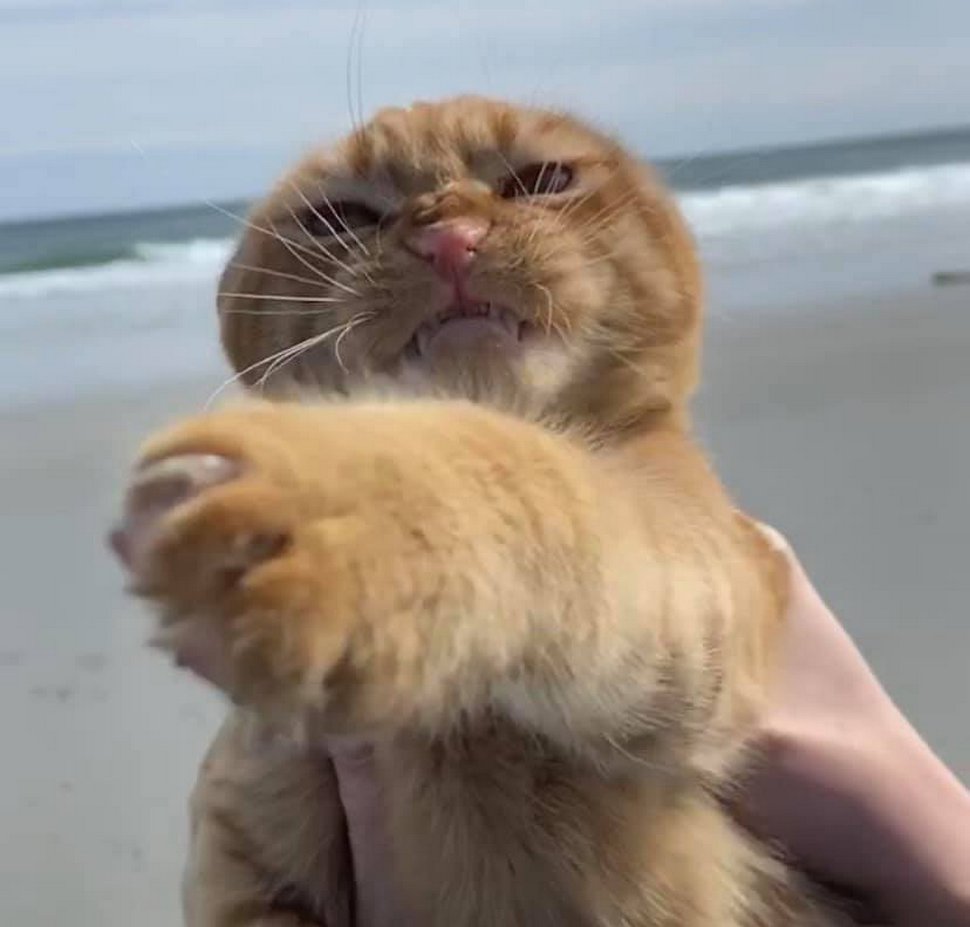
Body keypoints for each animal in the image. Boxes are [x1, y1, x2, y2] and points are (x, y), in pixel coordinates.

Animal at [109, 98, 844, 924]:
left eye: (541, 180)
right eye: (340, 217)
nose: (448, 235)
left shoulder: (699, 586)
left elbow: (529, 472)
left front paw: (340, 501)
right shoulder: (238, 850)